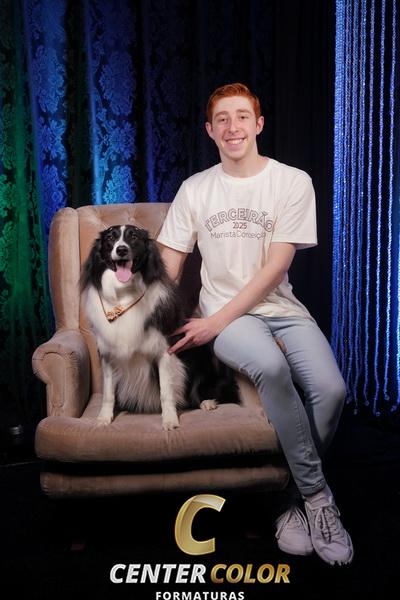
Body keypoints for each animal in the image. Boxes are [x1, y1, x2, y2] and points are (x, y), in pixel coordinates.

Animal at [80, 224, 240, 430]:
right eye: (110, 238)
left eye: (134, 236)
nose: (121, 250)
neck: (124, 295)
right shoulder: (108, 354)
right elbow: (108, 392)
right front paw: (104, 418)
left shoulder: (165, 351)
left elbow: (166, 391)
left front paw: (170, 420)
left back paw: (208, 402)